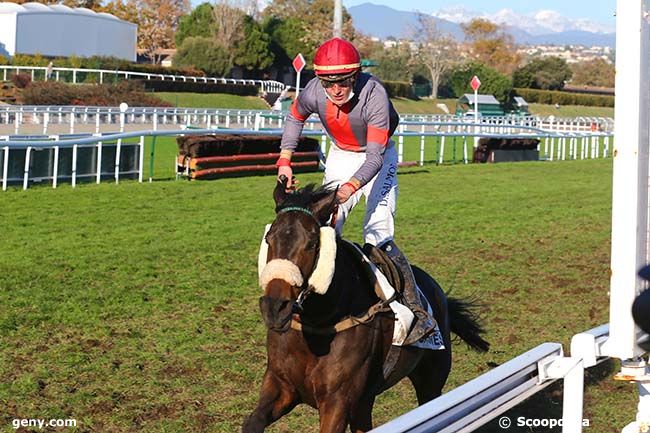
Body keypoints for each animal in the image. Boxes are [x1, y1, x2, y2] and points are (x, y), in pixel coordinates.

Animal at [243, 178, 486, 432]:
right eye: (269, 238)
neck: (318, 322)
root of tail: (438, 292)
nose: (274, 308)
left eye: (311, 243)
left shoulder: (337, 402)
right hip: (364, 401)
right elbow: (252, 421)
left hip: (431, 382)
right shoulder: (282, 385)